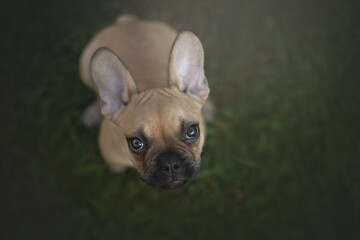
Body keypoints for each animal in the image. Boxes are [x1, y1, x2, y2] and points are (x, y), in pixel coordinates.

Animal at [79, 15, 211, 190]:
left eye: (192, 131)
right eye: (136, 143)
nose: (170, 163)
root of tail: (129, 22)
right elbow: (116, 166)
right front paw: (117, 170)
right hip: (84, 68)